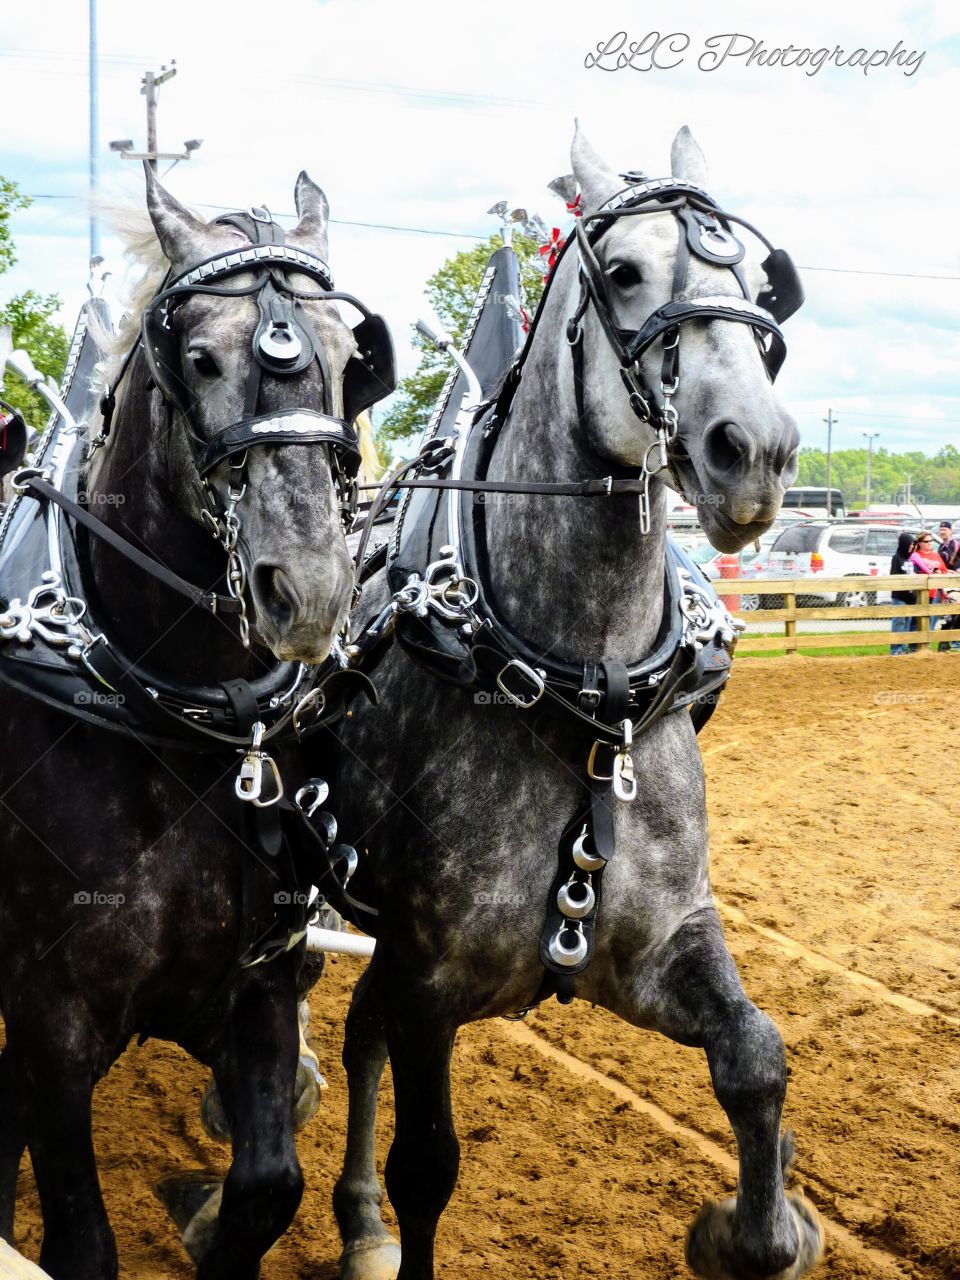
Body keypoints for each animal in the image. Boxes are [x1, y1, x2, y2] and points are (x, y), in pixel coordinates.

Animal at [0, 170, 363, 1280]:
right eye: (198, 357)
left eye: (350, 359)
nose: (310, 586)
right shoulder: (54, 1018)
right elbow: (80, 1240)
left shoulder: (253, 989)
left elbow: (268, 1187)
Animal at [325, 127, 829, 1280]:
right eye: (629, 272)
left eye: (758, 284)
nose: (758, 450)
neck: (584, 698)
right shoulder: (427, 975)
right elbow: (429, 1162)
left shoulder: (655, 946)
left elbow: (757, 1055)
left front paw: (756, 1231)